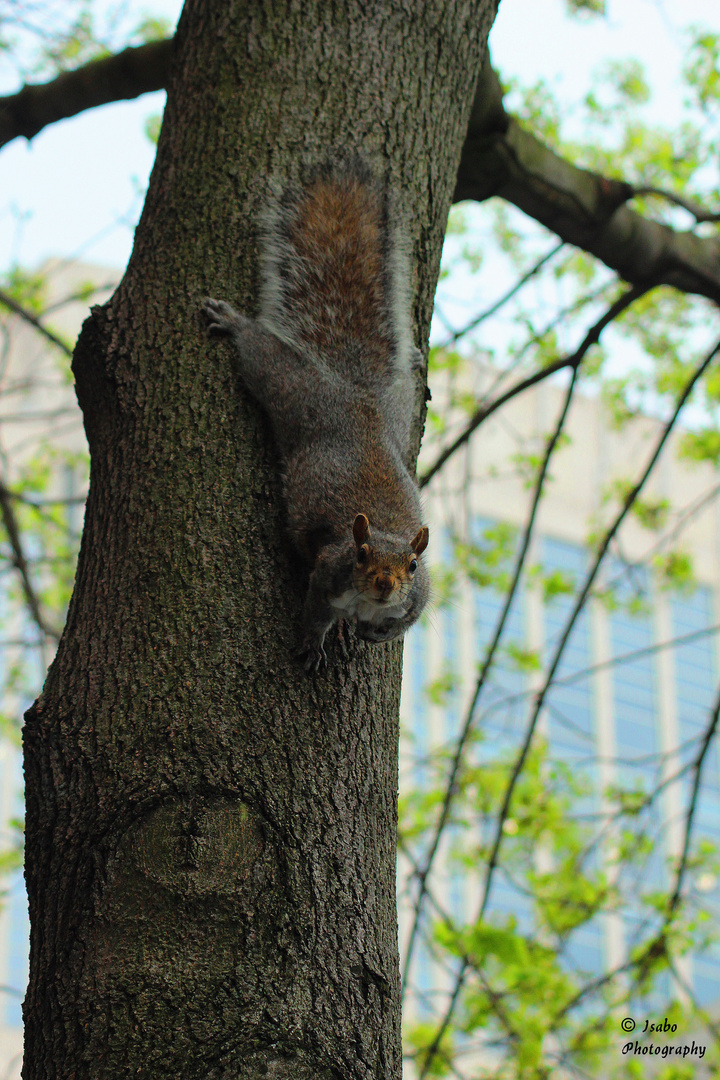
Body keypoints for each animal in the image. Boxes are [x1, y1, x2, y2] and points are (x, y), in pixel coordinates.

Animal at [202, 164, 427, 669]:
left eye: (412, 564)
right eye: (361, 555)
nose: (385, 584)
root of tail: (354, 392)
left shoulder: (418, 594)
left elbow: (406, 619)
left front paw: (376, 633)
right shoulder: (328, 573)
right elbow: (315, 612)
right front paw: (314, 642)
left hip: (401, 408)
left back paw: (415, 359)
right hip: (287, 384)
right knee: (259, 350)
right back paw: (234, 322)